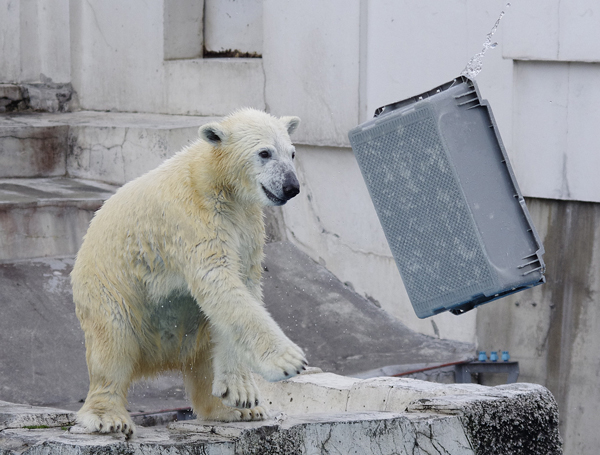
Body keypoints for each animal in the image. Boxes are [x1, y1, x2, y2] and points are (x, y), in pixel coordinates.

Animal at [72, 108, 308, 438]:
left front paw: (242, 394)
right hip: (110, 288)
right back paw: (108, 417)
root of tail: (158, 360)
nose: (291, 187)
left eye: (292, 153)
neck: (216, 180)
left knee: (207, 348)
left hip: (191, 329)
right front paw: (289, 360)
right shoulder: (194, 218)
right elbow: (217, 279)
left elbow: (242, 287)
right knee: (112, 344)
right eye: (264, 153)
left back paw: (232, 409)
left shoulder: (247, 224)